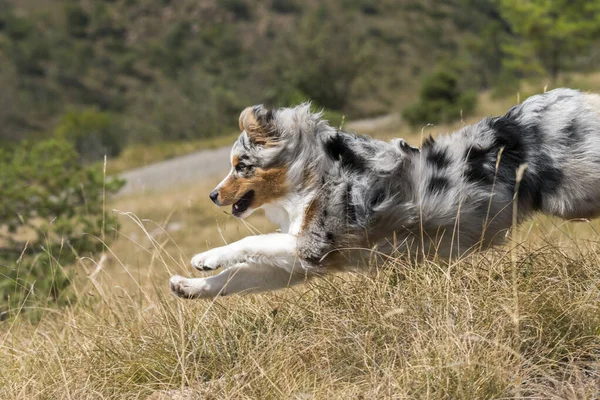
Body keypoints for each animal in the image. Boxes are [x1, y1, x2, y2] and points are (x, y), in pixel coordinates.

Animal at [170, 89, 600, 298]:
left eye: (241, 165)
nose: (212, 196)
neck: (313, 175)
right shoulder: (303, 263)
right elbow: (237, 279)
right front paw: (189, 287)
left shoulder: (314, 245)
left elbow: (249, 242)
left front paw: (206, 258)